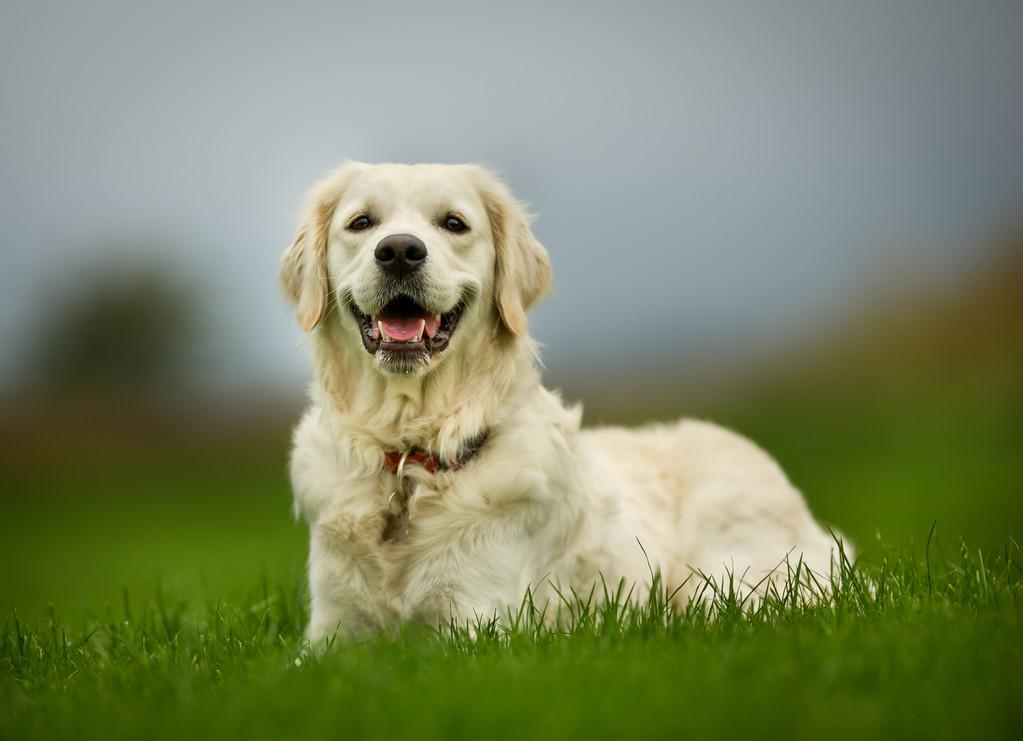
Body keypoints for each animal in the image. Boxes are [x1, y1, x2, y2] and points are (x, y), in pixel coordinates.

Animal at [282, 163, 847, 642]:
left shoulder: (477, 626)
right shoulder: (330, 635)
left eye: (454, 223)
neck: (409, 459)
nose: (399, 251)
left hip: (730, 578)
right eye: (361, 222)